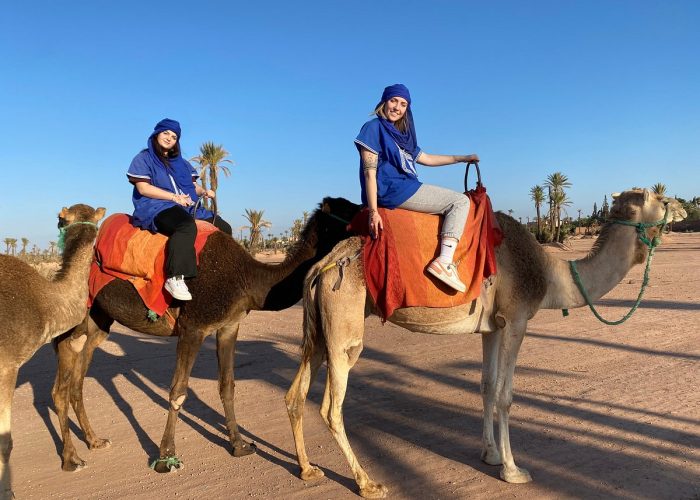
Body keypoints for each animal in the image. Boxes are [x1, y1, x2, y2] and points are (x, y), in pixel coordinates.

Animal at [53, 195, 360, 472]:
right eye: (348, 208)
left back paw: (94, 441)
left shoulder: (228, 326)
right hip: (79, 316)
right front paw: (166, 458)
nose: (369, 213)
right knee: (64, 370)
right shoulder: (193, 328)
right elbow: (178, 391)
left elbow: (227, 385)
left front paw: (239, 445)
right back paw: (71, 459)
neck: (248, 279)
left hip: (99, 320)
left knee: (79, 374)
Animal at [286, 189, 688, 498]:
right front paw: (513, 469)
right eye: (662, 198)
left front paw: (490, 454)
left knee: (296, 394)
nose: (685, 207)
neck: (550, 274)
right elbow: (506, 395)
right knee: (331, 407)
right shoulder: (517, 320)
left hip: (319, 330)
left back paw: (307, 469)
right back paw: (368, 483)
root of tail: (321, 265)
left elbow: (486, 386)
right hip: (344, 324)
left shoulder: (492, 328)